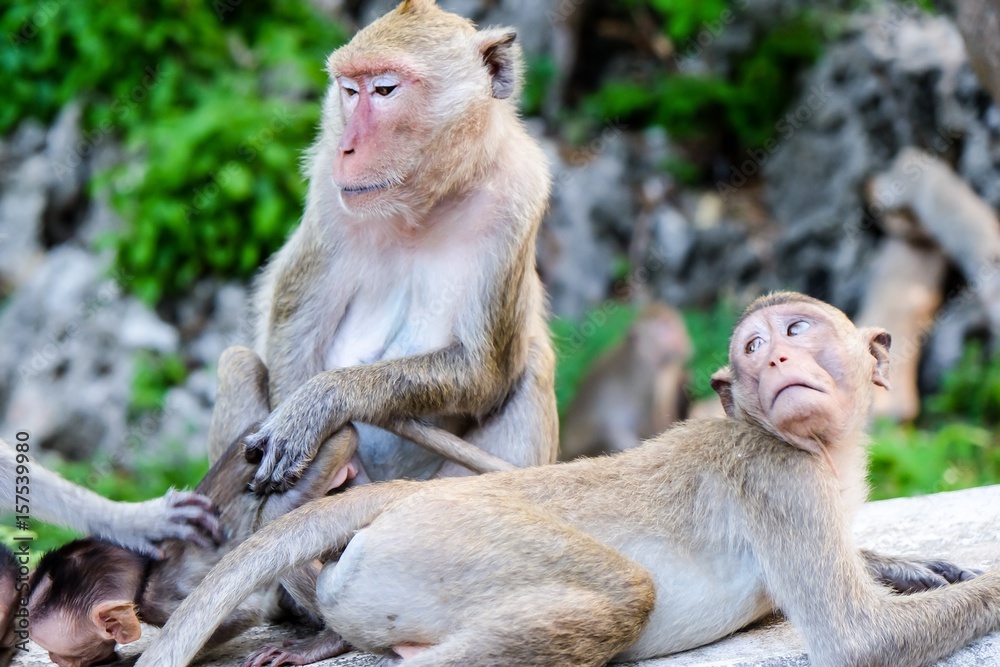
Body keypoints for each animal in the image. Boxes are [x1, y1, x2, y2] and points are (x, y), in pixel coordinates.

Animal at [226, 0, 557, 496]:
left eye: (384, 90)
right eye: (348, 90)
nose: (346, 147)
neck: (422, 207)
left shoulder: (519, 195)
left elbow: (483, 370)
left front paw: (322, 401)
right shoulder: (329, 195)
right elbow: (294, 330)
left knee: (534, 362)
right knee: (238, 361)